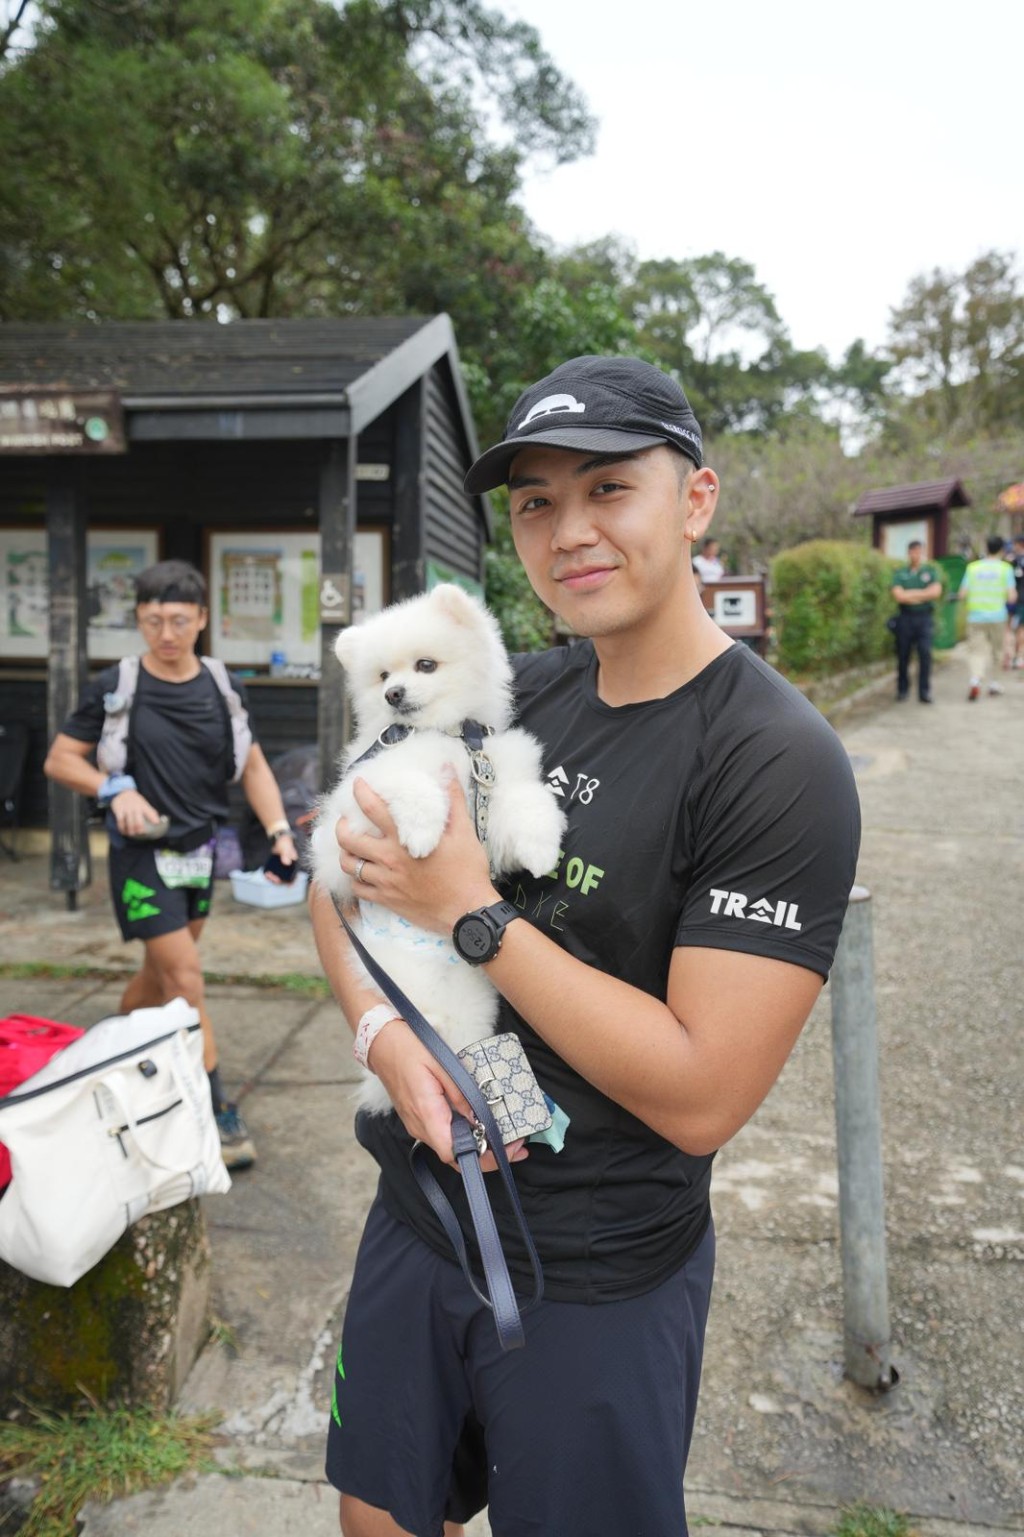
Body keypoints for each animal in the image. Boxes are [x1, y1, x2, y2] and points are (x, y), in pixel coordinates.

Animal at [310, 580, 565, 1112]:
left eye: (425, 665)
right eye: (383, 675)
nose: (394, 692)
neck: (446, 734)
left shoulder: (495, 784)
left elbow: (526, 803)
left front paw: (541, 849)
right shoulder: (352, 806)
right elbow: (410, 784)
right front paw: (423, 834)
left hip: (471, 999)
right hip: (396, 981)